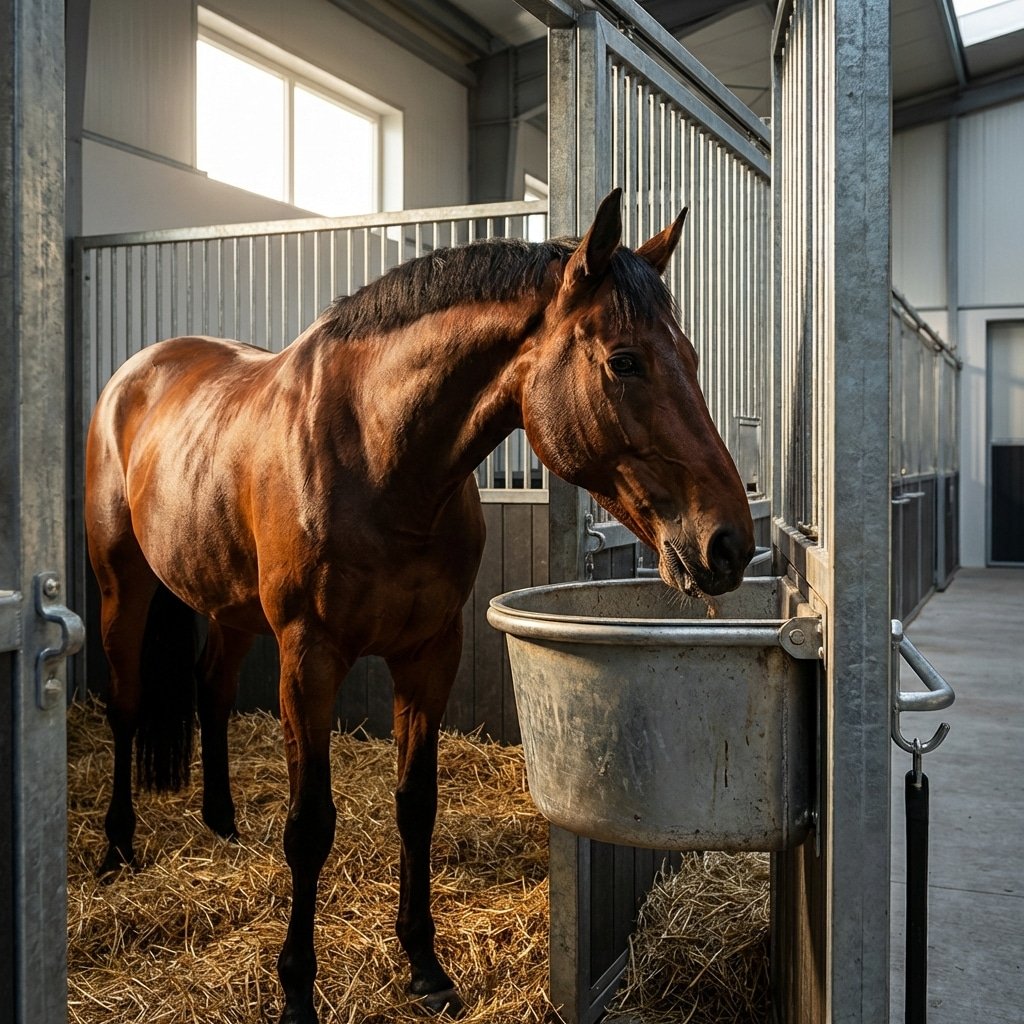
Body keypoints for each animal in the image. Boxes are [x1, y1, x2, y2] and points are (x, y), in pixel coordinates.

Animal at [84, 188, 755, 1023]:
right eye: (624, 360)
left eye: (690, 359)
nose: (729, 544)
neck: (376, 455)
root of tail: (138, 373)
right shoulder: (309, 658)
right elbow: (310, 825)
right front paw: (297, 991)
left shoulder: (429, 654)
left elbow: (416, 803)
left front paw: (426, 966)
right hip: (123, 584)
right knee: (126, 703)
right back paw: (117, 847)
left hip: (234, 610)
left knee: (211, 688)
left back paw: (224, 826)